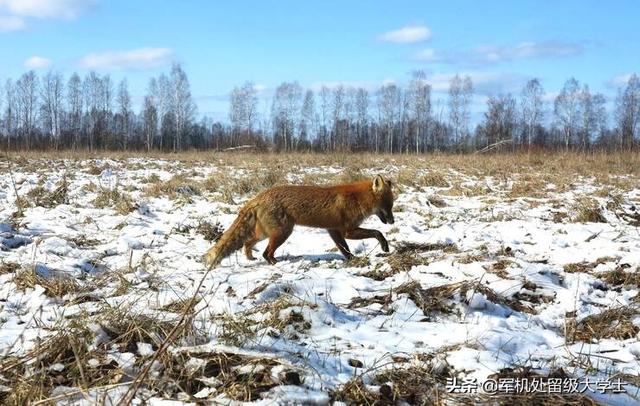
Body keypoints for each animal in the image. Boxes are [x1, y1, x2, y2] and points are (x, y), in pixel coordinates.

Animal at [205, 174, 396, 266]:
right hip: (282, 233)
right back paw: (276, 263)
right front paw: (384, 246)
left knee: (247, 243)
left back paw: (251, 258)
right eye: (388, 205)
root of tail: (258, 197)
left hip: (265, 233)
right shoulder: (348, 230)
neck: (357, 199)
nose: (393, 221)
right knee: (266, 253)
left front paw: (351, 260)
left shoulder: (333, 230)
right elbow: (377, 232)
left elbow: (344, 249)